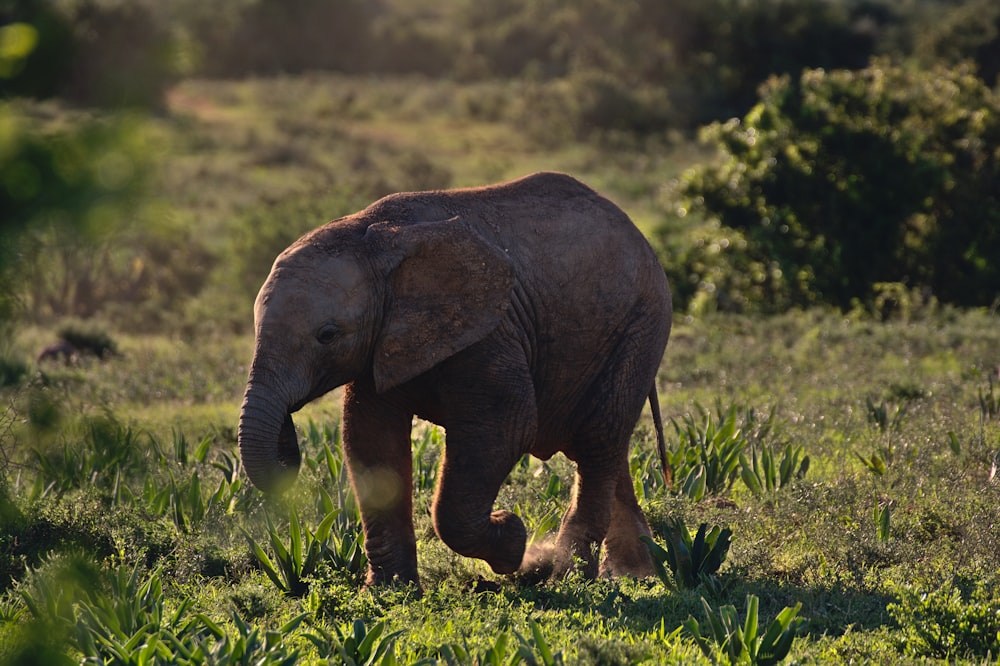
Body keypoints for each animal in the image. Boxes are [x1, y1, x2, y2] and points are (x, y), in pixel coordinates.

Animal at [236, 171, 672, 588]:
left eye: (327, 335)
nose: (287, 437)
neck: (375, 237)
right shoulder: (383, 340)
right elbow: (369, 438)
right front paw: (388, 593)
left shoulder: (491, 331)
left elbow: (508, 427)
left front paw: (513, 541)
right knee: (603, 449)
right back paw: (634, 575)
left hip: (641, 324)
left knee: (598, 440)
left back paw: (568, 578)